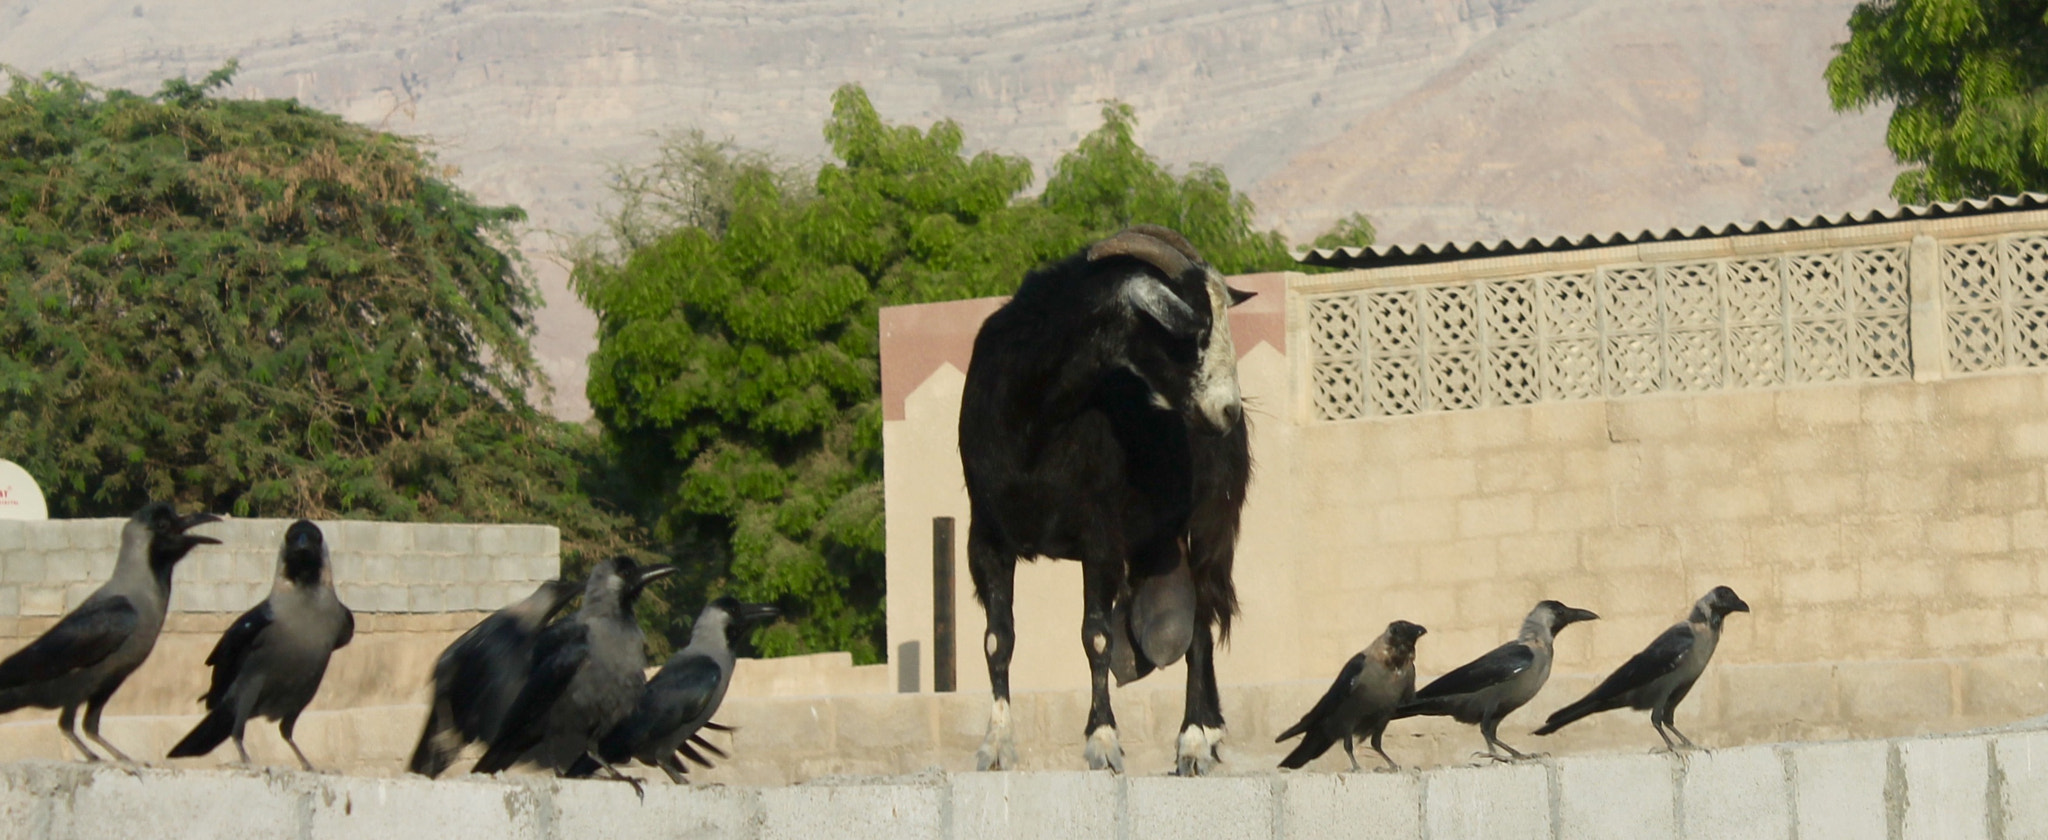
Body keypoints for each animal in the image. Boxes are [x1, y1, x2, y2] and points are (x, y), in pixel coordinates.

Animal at [954, 224, 1245, 774]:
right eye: (1195, 333)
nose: (1228, 410)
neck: (1034, 421)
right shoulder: (986, 538)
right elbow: (997, 639)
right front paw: (995, 744)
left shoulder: (1100, 536)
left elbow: (1097, 637)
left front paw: (1103, 741)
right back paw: (1211, 731)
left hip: (1209, 526)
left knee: (1200, 628)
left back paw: (1194, 740)